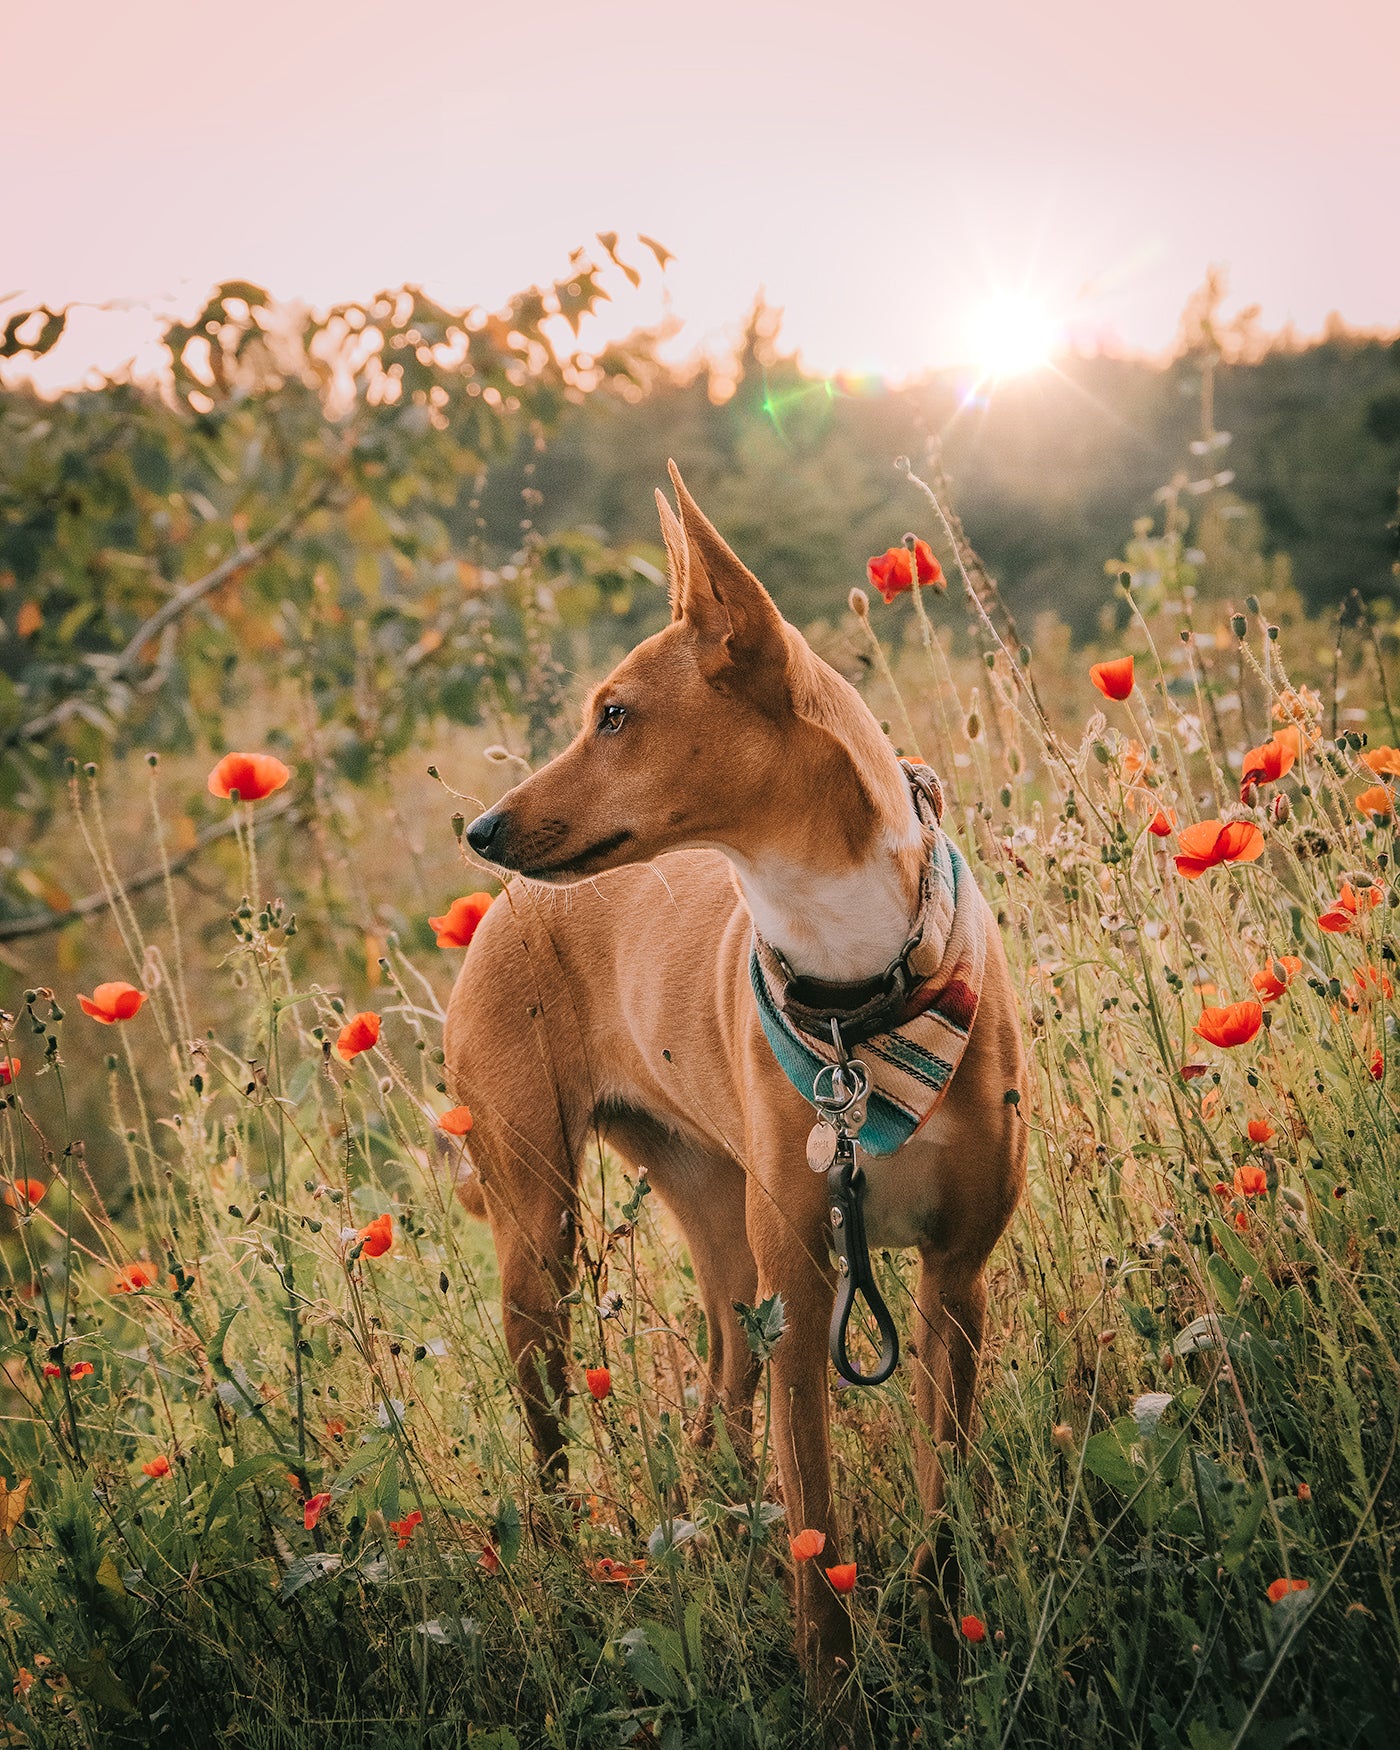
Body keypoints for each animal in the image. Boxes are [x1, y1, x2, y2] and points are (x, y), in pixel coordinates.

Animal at [448, 462, 1029, 1708]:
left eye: (615, 715)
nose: (479, 828)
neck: (854, 985)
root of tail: (499, 914)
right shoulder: (807, 1296)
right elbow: (817, 1540)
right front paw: (833, 1696)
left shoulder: (951, 1283)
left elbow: (941, 1494)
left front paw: (942, 1635)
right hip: (541, 1243)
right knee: (551, 1449)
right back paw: (568, 1568)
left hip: (719, 1229)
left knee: (718, 1382)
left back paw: (704, 1525)